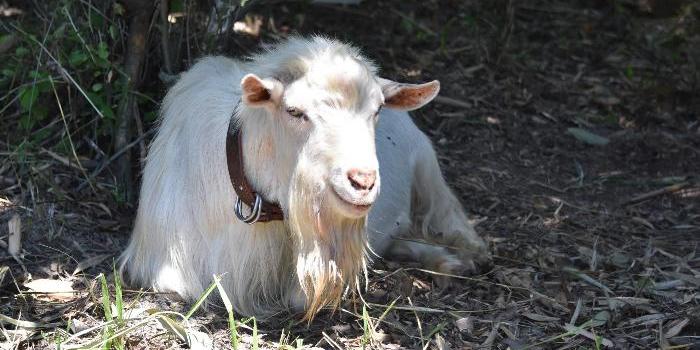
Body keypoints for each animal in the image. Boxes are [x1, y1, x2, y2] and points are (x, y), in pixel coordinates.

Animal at [119, 37, 486, 318]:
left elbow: (304, 296)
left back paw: (462, 259)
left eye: (378, 110)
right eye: (294, 111)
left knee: (450, 217)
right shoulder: (163, 269)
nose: (362, 181)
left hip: (426, 164)